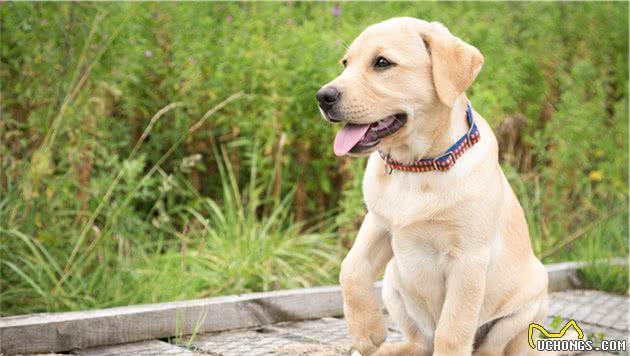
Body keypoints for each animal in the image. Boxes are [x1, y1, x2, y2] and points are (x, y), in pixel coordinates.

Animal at [318, 17, 552, 356]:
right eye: (346, 63)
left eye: (382, 63)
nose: (322, 96)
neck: (416, 168)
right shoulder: (379, 223)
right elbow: (352, 266)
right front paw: (366, 333)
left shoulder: (467, 260)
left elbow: (452, 330)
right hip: (393, 286)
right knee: (420, 343)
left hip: (529, 302)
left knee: (487, 348)